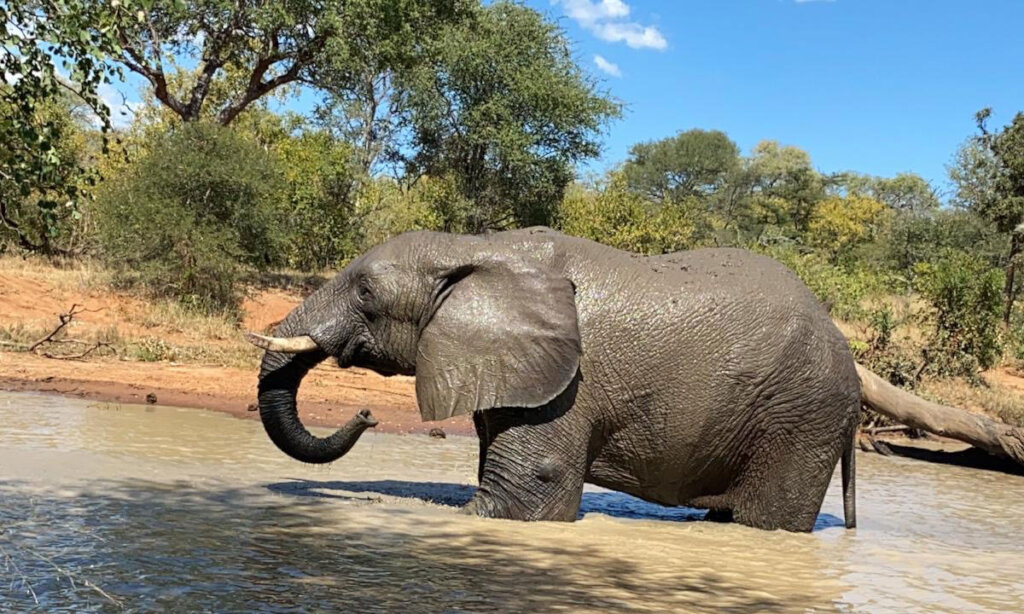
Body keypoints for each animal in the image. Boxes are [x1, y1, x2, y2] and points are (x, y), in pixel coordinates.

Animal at [247, 227, 860, 532]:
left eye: (366, 292)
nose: (366, 413)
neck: (477, 245)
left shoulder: (566, 385)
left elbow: (525, 498)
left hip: (802, 419)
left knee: (766, 518)